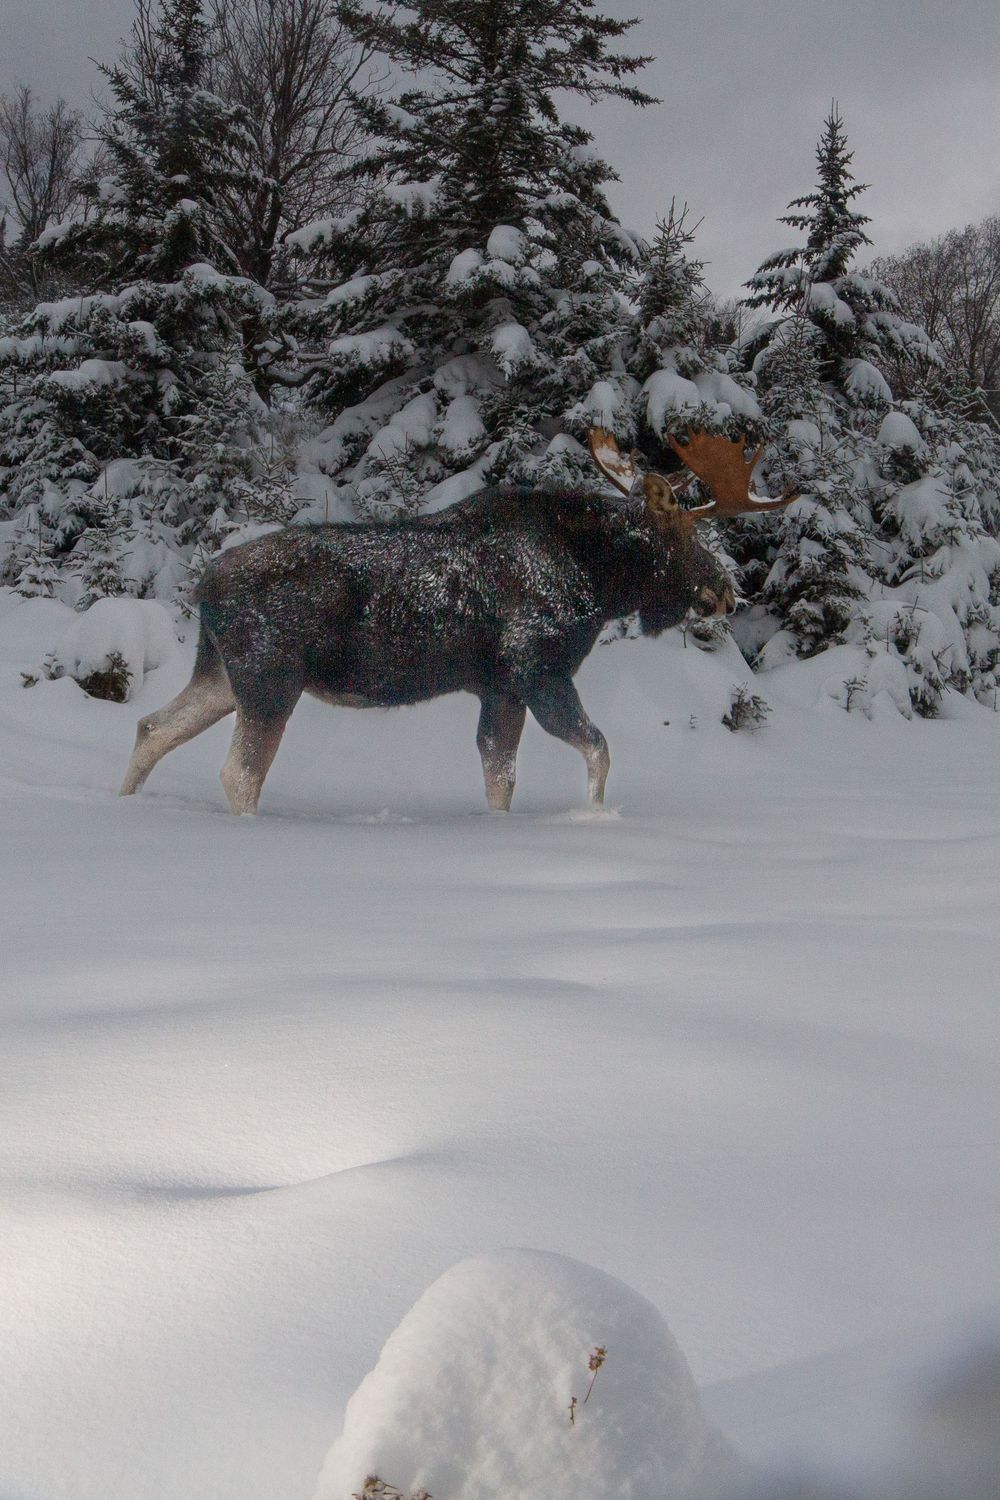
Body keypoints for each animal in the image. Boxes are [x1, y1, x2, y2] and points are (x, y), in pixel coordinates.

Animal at [119, 429, 794, 814]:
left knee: (152, 727)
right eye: (689, 535)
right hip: (271, 679)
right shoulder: (538, 670)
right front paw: (597, 820)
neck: (600, 583)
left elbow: (501, 777)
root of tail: (204, 586)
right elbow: (599, 751)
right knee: (237, 773)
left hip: (222, 674)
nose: (725, 593)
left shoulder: (499, 687)